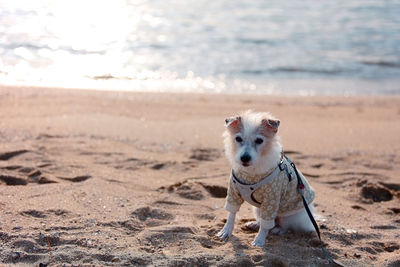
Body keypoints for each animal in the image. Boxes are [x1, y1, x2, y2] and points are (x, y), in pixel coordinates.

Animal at [219, 110, 316, 247]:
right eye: (238, 139)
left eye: (259, 140)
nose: (245, 158)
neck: (251, 173)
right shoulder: (233, 193)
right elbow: (231, 214)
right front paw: (226, 231)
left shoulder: (271, 199)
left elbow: (265, 227)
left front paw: (259, 240)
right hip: (258, 209)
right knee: (264, 220)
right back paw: (254, 224)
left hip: (288, 215)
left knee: (282, 225)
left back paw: (278, 230)